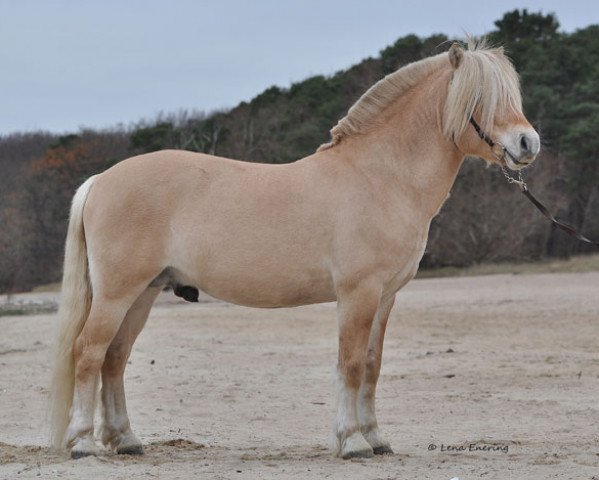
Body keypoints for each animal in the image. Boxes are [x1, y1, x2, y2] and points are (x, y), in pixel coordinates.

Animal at [49, 42, 540, 462]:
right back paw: (83, 444)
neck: (379, 178)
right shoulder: (358, 293)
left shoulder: (385, 297)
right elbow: (350, 364)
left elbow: (372, 365)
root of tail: (101, 180)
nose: (527, 143)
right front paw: (352, 442)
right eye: (481, 97)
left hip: (144, 293)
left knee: (114, 359)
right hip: (117, 294)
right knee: (88, 353)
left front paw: (376, 438)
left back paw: (126, 440)